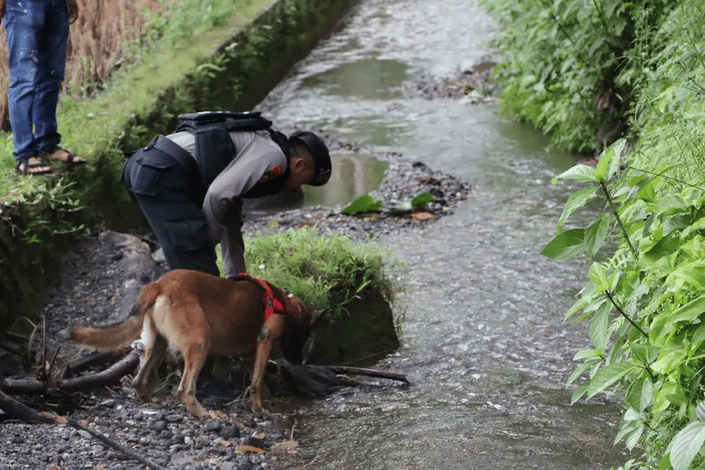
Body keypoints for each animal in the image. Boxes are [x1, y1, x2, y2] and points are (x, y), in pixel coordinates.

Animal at [69, 268, 328, 418]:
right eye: (306, 336)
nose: (299, 361)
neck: (286, 305)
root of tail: (158, 284)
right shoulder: (265, 339)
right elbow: (256, 381)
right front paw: (258, 407)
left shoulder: (249, 356)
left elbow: (257, 380)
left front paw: (266, 399)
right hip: (199, 344)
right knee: (184, 388)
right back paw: (203, 414)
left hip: (157, 345)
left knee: (138, 380)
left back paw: (151, 403)